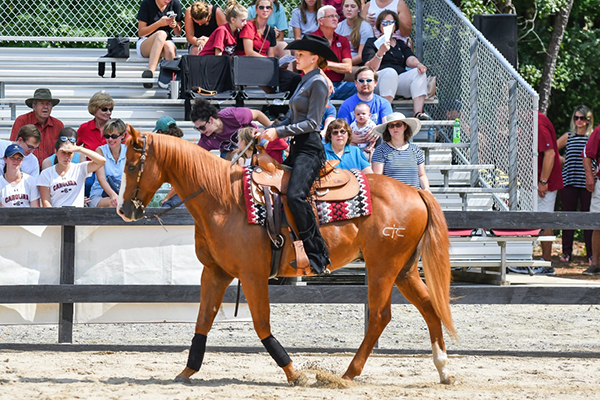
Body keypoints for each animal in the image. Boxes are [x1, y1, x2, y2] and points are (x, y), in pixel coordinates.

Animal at [116, 130, 454, 386]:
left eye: (132, 167)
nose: (124, 210)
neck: (223, 198)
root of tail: (415, 192)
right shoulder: (214, 273)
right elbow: (203, 321)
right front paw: (187, 370)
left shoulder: (252, 275)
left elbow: (261, 324)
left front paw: (293, 373)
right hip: (404, 270)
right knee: (430, 308)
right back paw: (443, 368)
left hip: (383, 267)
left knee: (381, 316)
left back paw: (347, 374)